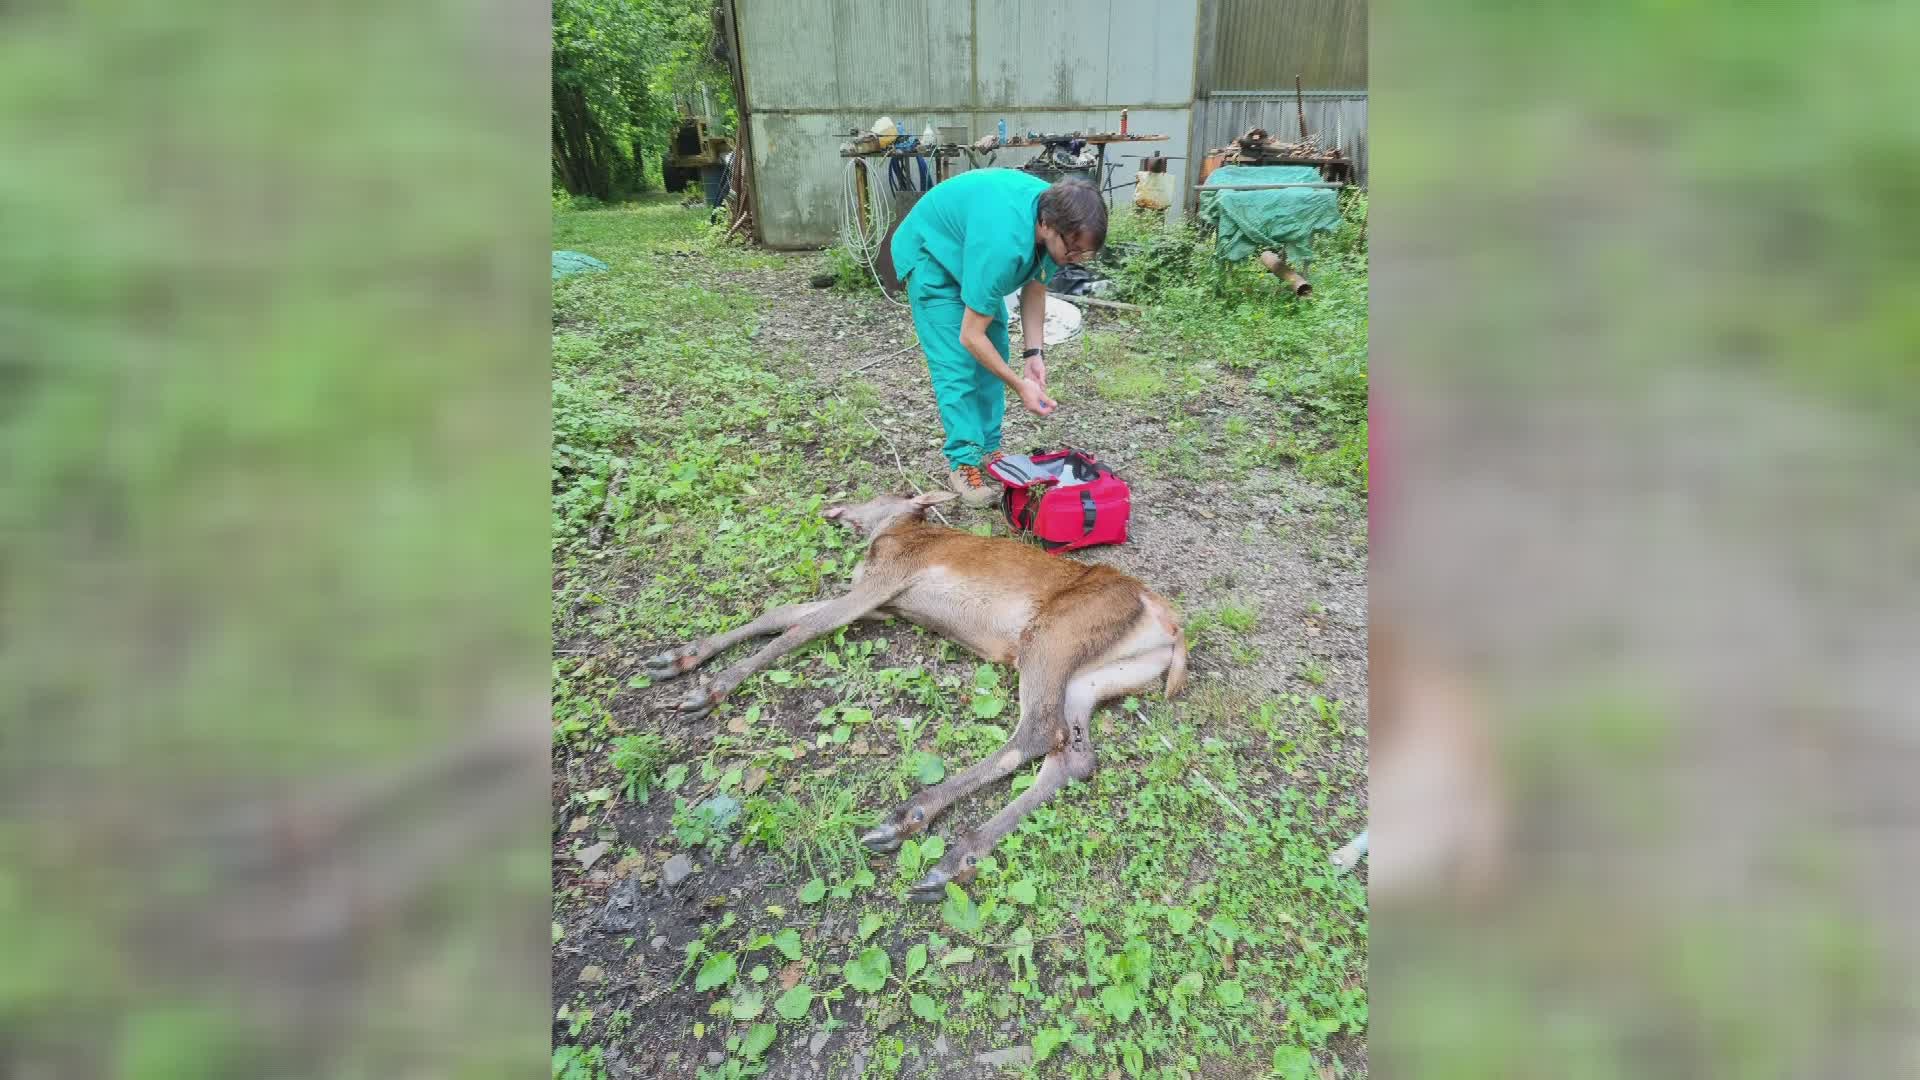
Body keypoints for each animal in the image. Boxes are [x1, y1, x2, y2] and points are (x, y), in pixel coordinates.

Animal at [645, 491, 1182, 895]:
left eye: (884, 493)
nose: (836, 507)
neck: (890, 535)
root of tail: (1170, 623)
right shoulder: (883, 604)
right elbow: (782, 613)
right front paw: (678, 658)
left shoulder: (888, 578)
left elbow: (802, 629)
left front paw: (710, 690)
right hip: (1093, 678)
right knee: (1075, 757)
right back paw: (955, 859)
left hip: (1052, 638)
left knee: (1037, 732)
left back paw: (911, 817)